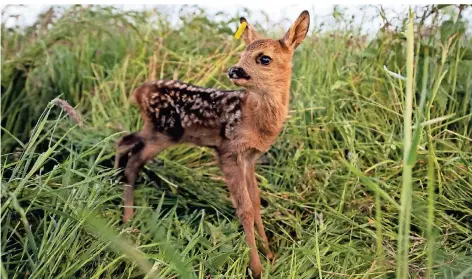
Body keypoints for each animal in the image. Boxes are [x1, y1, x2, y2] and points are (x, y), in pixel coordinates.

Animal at [115, 9, 310, 278]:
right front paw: (256, 268)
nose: (234, 70)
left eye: (264, 59)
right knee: (133, 156)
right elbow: (244, 209)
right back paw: (127, 219)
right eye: (242, 53)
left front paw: (270, 254)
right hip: (163, 133)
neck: (253, 118)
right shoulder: (228, 151)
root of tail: (137, 92)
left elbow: (256, 203)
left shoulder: (248, 157)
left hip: (157, 131)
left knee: (125, 142)